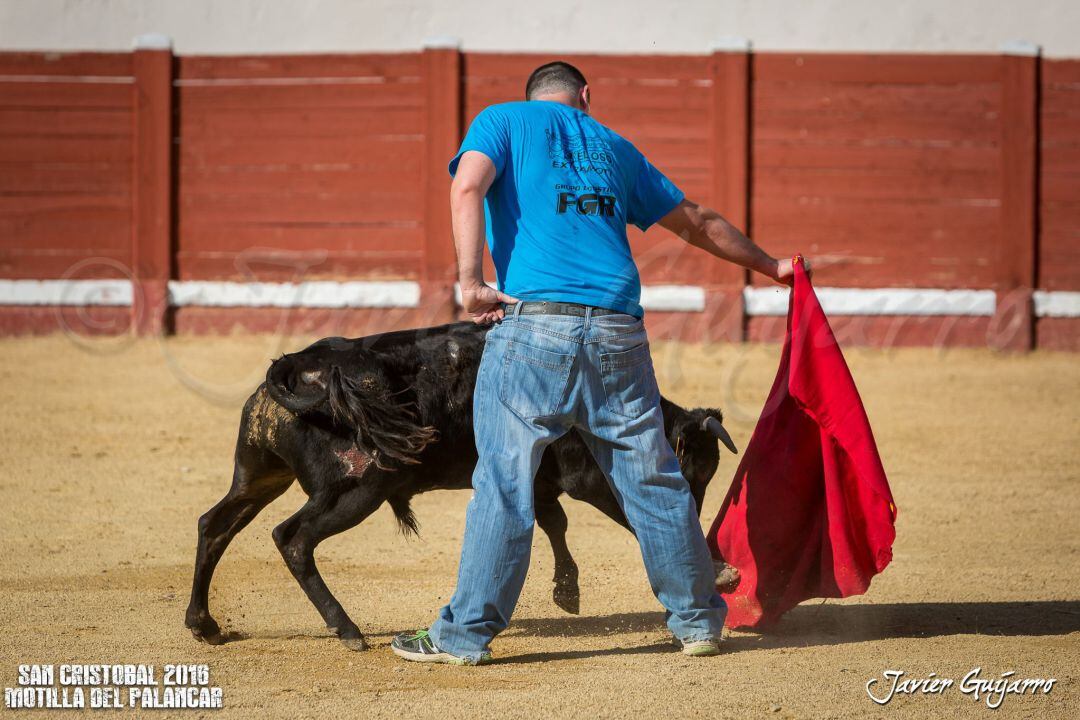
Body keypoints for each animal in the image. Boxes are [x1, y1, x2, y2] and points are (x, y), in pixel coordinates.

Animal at [187, 321, 743, 647]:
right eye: (694, 472)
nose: (695, 512)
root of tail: (297, 366)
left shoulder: (540, 477)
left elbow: (554, 523)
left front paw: (567, 590)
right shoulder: (585, 474)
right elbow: (621, 512)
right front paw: (719, 573)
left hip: (260, 476)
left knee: (214, 525)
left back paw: (204, 624)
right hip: (357, 489)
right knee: (293, 538)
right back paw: (346, 629)